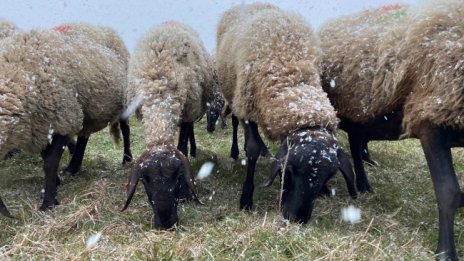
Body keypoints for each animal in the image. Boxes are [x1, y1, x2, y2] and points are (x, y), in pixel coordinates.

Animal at [0, 24, 129, 215]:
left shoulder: (62, 120)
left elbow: (50, 162)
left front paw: (48, 202)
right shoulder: (40, 127)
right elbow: (45, 157)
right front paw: (56, 183)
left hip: (124, 101)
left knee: (126, 129)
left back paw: (127, 159)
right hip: (86, 110)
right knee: (84, 136)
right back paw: (73, 166)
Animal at [120, 21, 213, 230]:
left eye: (178, 178)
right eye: (145, 182)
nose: (166, 224)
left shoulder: (187, 109)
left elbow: (182, 144)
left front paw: (186, 193)